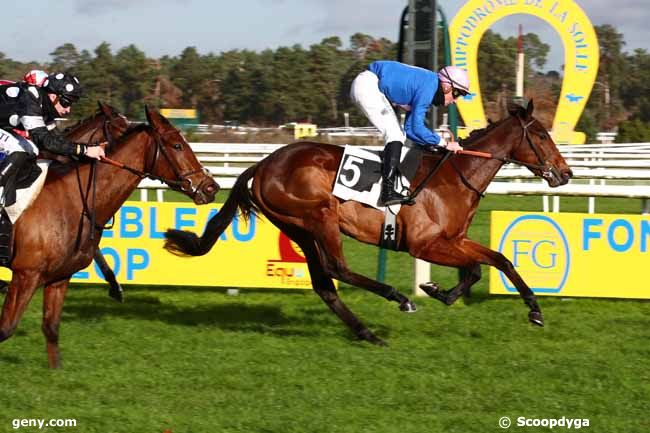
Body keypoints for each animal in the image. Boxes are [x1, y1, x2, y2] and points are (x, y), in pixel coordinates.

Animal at [0, 105, 218, 364]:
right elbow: (5, 328)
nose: (211, 187)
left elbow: (51, 329)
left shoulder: (59, 277)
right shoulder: (26, 274)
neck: (73, 198)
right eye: (177, 145)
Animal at [165, 101, 568, 344]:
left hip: (298, 227)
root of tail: (262, 165)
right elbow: (477, 267)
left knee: (324, 283)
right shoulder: (425, 244)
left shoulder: (454, 239)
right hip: (320, 215)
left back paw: (367, 332)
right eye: (542, 134)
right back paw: (397, 298)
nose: (565, 173)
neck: (454, 177)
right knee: (337, 268)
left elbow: (497, 261)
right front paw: (433, 290)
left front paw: (532, 310)